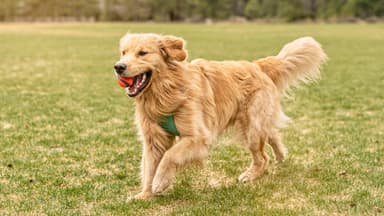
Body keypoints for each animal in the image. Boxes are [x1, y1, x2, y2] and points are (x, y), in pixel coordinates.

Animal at [114, 33, 328, 200]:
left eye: (142, 53)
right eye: (123, 52)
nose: (119, 67)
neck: (165, 93)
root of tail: (256, 65)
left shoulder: (198, 137)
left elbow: (169, 156)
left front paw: (160, 182)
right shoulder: (153, 140)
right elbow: (149, 167)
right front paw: (144, 194)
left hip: (251, 127)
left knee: (262, 156)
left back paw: (250, 175)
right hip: (255, 124)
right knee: (272, 133)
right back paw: (281, 155)